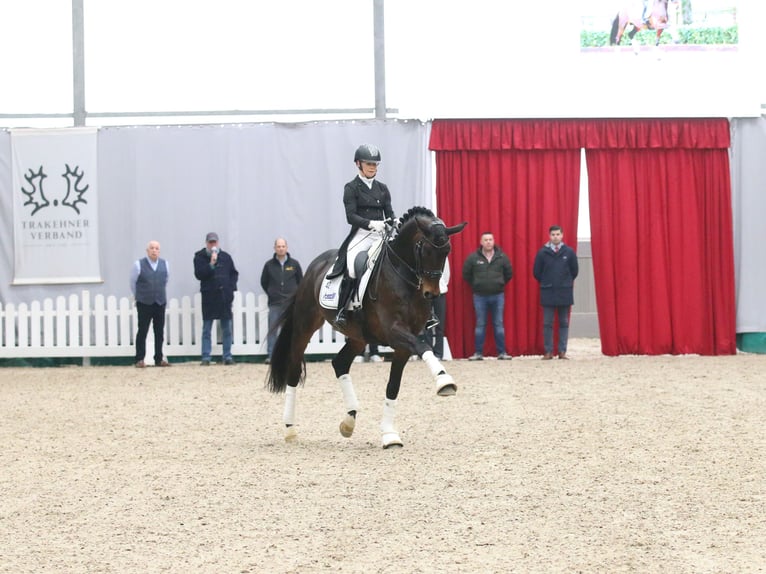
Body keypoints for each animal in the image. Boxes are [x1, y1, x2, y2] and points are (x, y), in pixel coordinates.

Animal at [264, 207, 468, 450]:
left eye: (447, 251)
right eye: (426, 250)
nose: (432, 293)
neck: (402, 275)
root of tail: (314, 266)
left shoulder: (402, 345)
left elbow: (393, 386)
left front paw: (389, 435)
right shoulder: (395, 331)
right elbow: (423, 345)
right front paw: (443, 380)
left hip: (358, 337)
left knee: (340, 363)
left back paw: (348, 421)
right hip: (305, 327)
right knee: (294, 371)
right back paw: (290, 429)